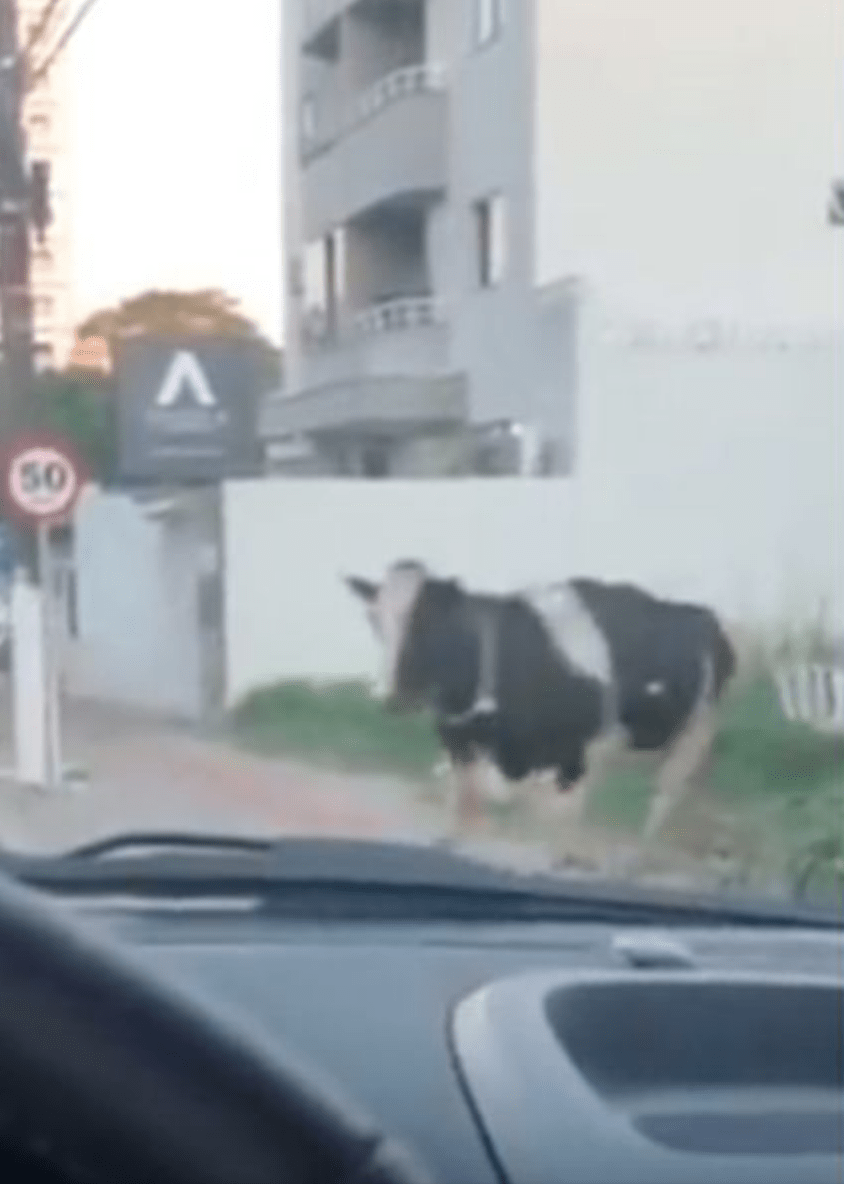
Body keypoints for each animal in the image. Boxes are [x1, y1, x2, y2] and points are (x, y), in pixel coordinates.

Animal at [345, 561, 733, 843]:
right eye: (373, 619)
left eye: (426, 621)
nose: (390, 696)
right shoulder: (459, 742)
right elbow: (466, 802)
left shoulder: (570, 757)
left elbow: (544, 817)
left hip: (697, 730)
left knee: (664, 796)